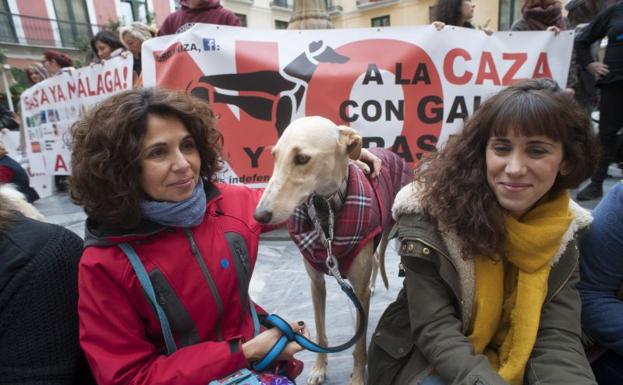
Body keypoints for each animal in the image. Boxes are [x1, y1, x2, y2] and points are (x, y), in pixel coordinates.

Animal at [254, 116, 410, 384]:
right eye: (275, 156)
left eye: (302, 158)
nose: (260, 215)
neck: (325, 211)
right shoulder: (316, 283)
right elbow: (320, 334)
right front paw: (319, 369)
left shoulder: (358, 292)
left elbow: (359, 345)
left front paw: (357, 378)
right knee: (376, 259)